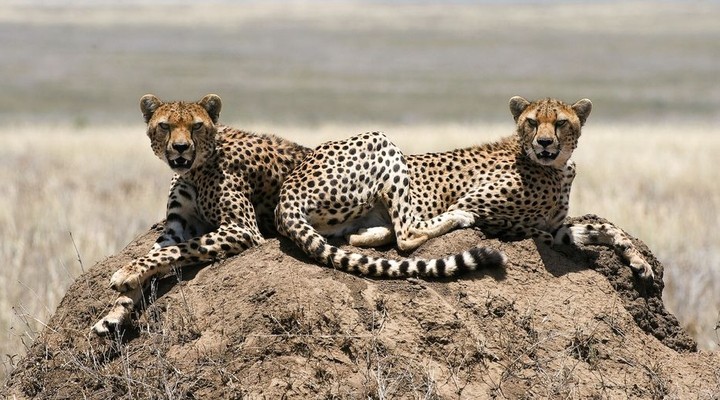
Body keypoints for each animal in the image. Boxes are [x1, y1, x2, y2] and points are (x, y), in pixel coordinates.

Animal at [90, 94, 312, 334]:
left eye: (196, 126)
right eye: (165, 126)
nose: (181, 147)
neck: (195, 169)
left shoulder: (243, 229)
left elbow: (176, 251)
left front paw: (125, 273)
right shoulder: (177, 227)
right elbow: (156, 254)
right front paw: (114, 313)